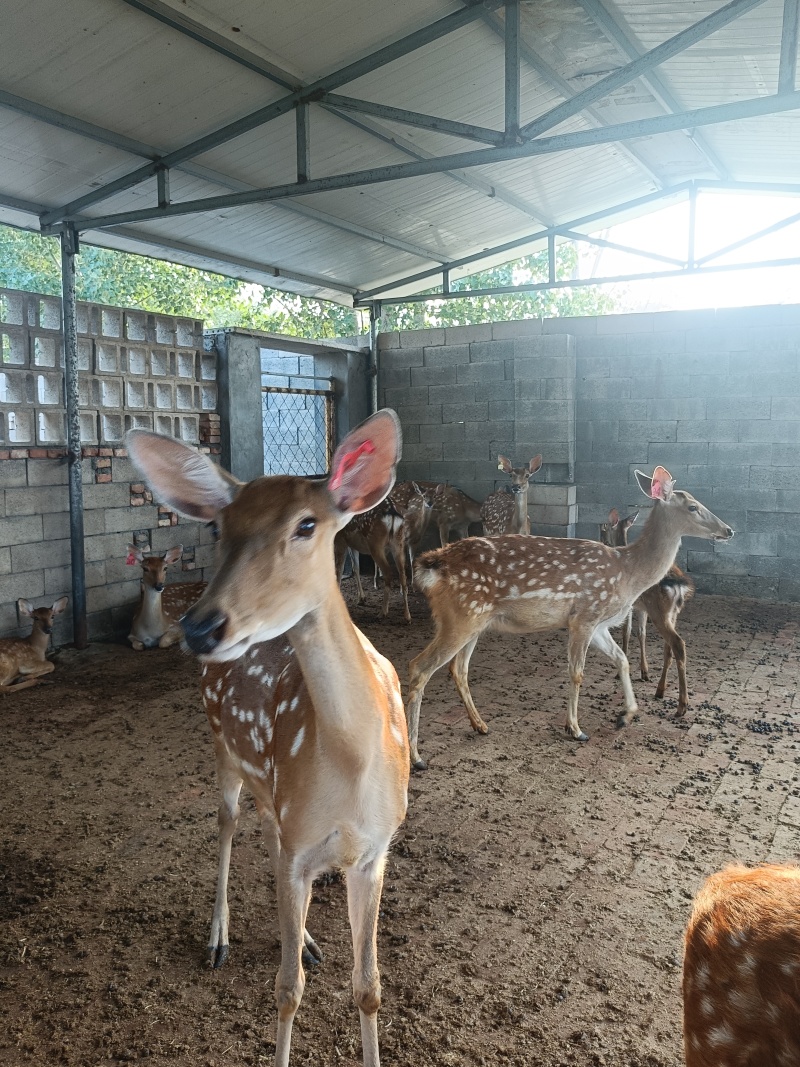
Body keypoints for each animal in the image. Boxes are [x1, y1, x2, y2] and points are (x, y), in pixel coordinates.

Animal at [126, 410, 410, 1067]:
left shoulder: (375, 849)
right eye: (219, 526)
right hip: (223, 750)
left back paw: (304, 938)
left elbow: (369, 987)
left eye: (307, 524)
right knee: (230, 825)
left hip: (269, 789)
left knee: (267, 834)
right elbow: (286, 991)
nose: (199, 626)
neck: (351, 766)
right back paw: (219, 938)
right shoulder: (304, 839)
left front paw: (318, 950)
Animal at [600, 507, 696, 716]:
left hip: (658, 610)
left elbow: (626, 632)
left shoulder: (628, 605)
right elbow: (641, 633)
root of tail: (678, 585)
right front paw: (644, 671)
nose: (601, 540)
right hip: (672, 612)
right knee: (669, 647)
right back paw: (660, 689)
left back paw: (682, 705)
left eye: (603, 527)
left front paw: (619, 671)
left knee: (677, 643)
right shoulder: (640, 607)